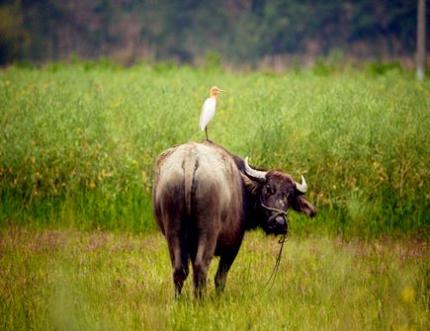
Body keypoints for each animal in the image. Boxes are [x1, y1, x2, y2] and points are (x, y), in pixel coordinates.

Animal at [153, 141, 314, 300]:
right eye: (268, 189)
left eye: (290, 196)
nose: (279, 223)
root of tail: (190, 159)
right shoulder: (234, 244)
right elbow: (220, 277)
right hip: (208, 231)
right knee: (201, 265)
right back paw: (200, 301)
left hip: (173, 230)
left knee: (179, 269)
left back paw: (179, 300)